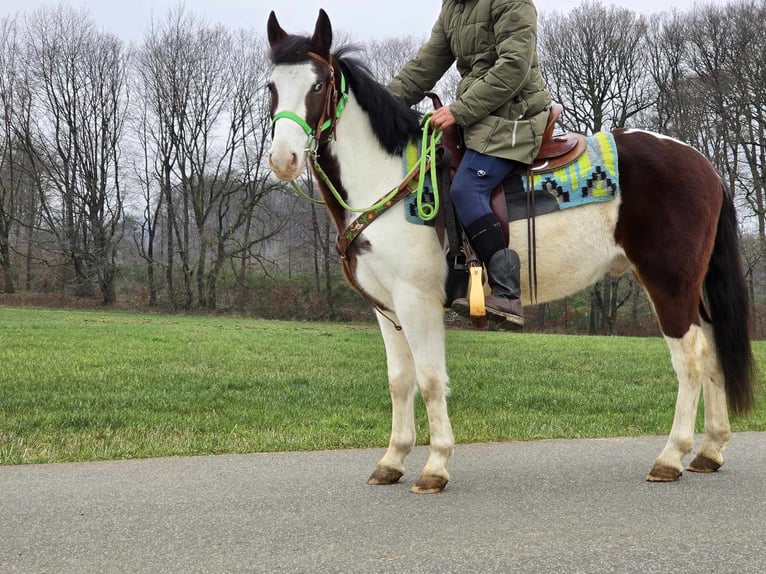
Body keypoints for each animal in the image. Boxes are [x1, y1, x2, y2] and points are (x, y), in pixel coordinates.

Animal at [268, 9, 760, 496]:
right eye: (272, 86)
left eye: (318, 85)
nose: (282, 158)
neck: (392, 176)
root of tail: (704, 165)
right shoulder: (388, 308)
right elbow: (400, 381)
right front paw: (392, 460)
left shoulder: (417, 301)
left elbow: (430, 380)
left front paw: (435, 466)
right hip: (690, 287)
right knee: (713, 351)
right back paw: (710, 450)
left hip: (668, 282)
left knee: (691, 357)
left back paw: (671, 456)